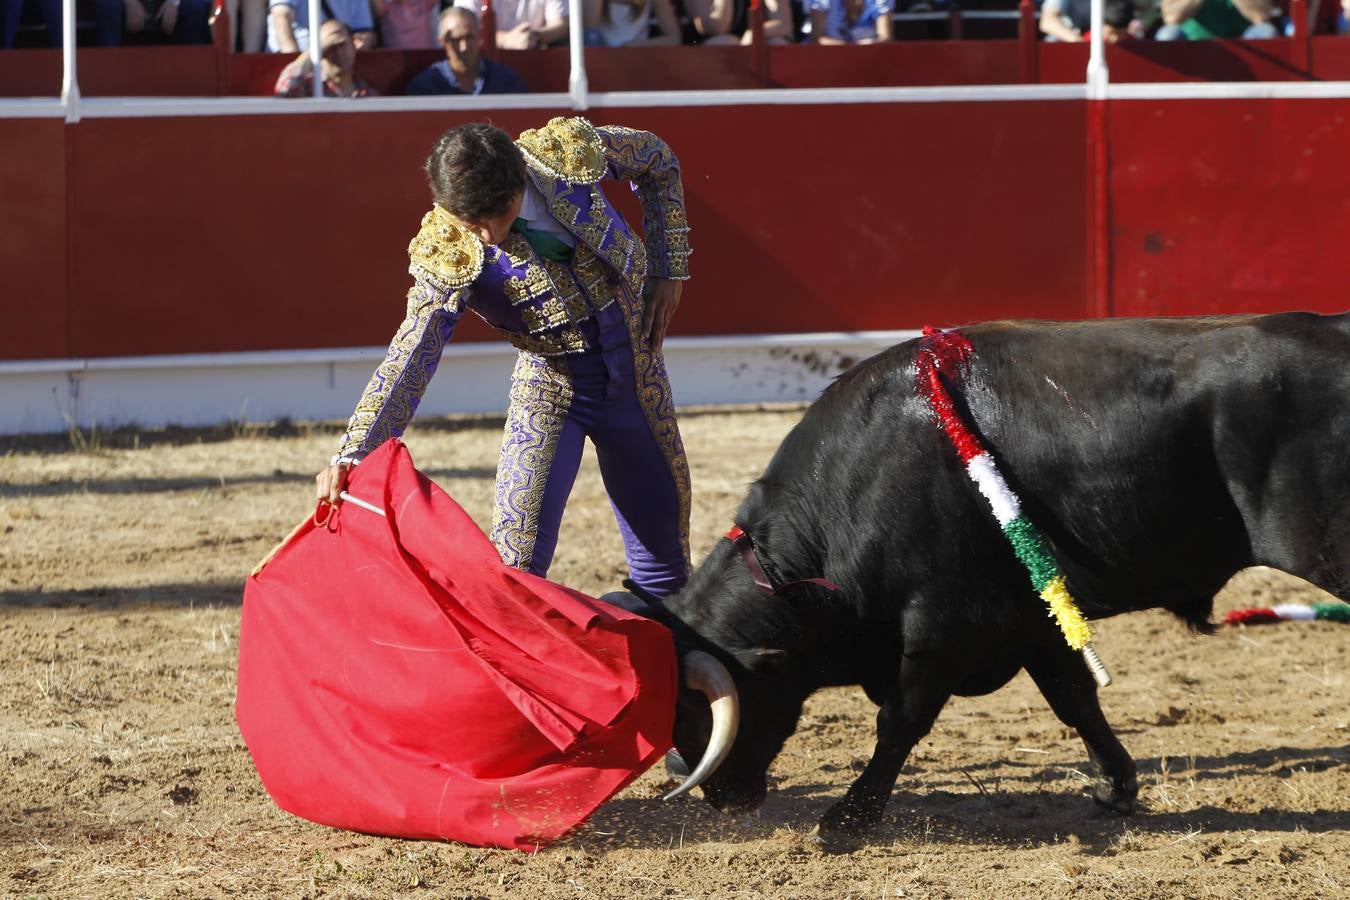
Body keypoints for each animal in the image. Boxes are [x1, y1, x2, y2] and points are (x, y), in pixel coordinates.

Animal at [626, 311, 1344, 847]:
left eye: (697, 709)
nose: (715, 795)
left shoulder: (942, 627)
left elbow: (901, 719)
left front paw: (845, 821)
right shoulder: (1034, 619)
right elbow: (1075, 698)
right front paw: (1114, 788)